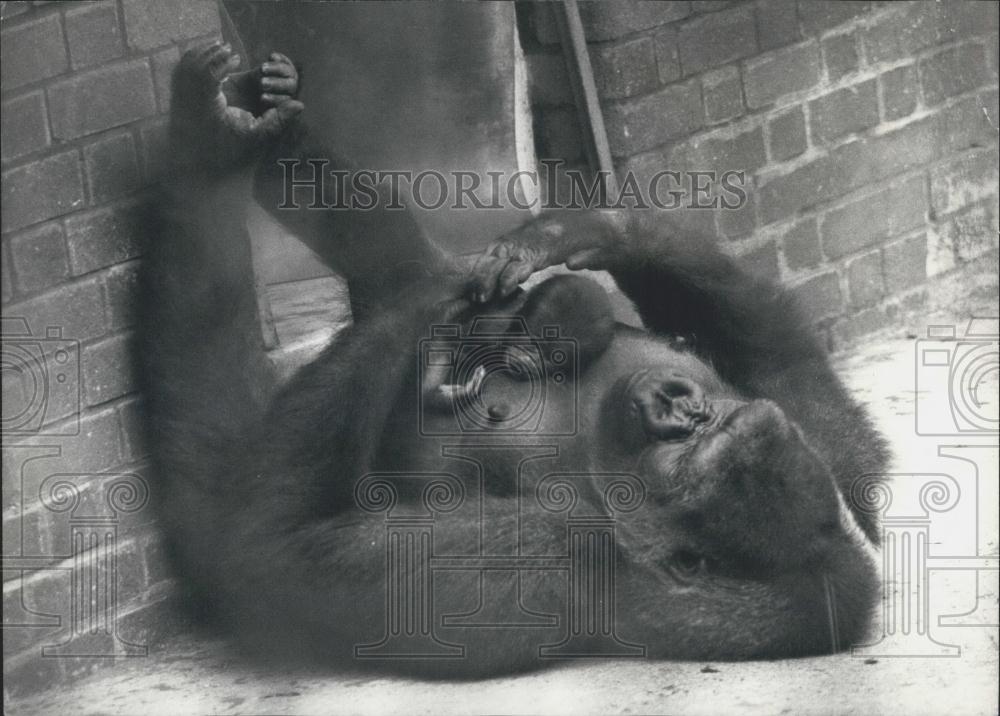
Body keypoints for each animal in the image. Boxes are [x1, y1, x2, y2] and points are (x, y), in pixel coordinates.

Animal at [137, 43, 889, 678]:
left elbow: (272, 553)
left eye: (690, 451)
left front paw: (438, 306)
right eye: (705, 421)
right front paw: (583, 228)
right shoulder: (809, 436)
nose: (680, 404)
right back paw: (267, 127)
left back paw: (207, 155)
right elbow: (789, 370)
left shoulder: (563, 557)